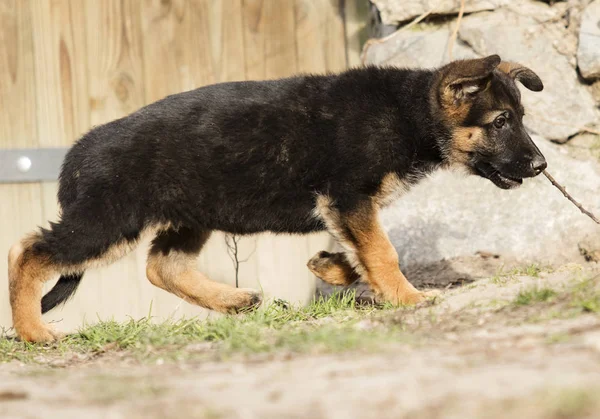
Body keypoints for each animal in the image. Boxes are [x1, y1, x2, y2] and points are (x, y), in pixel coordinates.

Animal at [8, 55, 548, 342]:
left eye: (519, 118)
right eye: (501, 122)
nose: (541, 166)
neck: (409, 112)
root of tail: (77, 153)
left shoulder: (344, 207)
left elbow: (364, 251)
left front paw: (332, 266)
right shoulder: (349, 197)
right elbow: (383, 251)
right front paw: (408, 297)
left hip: (192, 213)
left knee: (163, 266)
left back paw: (235, 299)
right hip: (110, 221)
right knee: (27, 251)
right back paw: (33, 331)